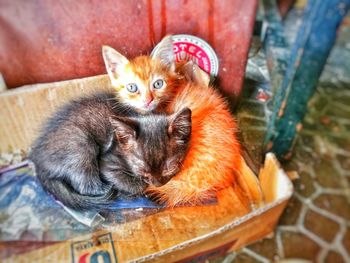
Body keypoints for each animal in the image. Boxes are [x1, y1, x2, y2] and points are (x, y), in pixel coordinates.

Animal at [29, 92, 191, 211]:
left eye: (169, 168)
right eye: (141, 169)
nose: (157, 184)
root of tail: (38, 162)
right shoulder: (107, 163)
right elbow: (133, 183)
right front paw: (144, 189)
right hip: (80, 143)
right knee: (86, 184)